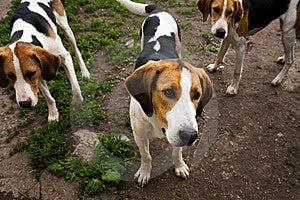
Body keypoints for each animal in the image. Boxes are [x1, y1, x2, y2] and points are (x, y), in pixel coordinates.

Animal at [117, 0, 213, 188]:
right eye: (168, 92)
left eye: (196, 95)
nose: (190, 136)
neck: (158, 121)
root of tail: (159, 10)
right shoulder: (139, 136)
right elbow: (146, 156)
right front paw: (145, 173)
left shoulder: (177, 137)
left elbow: (176, 152)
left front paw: (179, 166)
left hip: (179, 42)